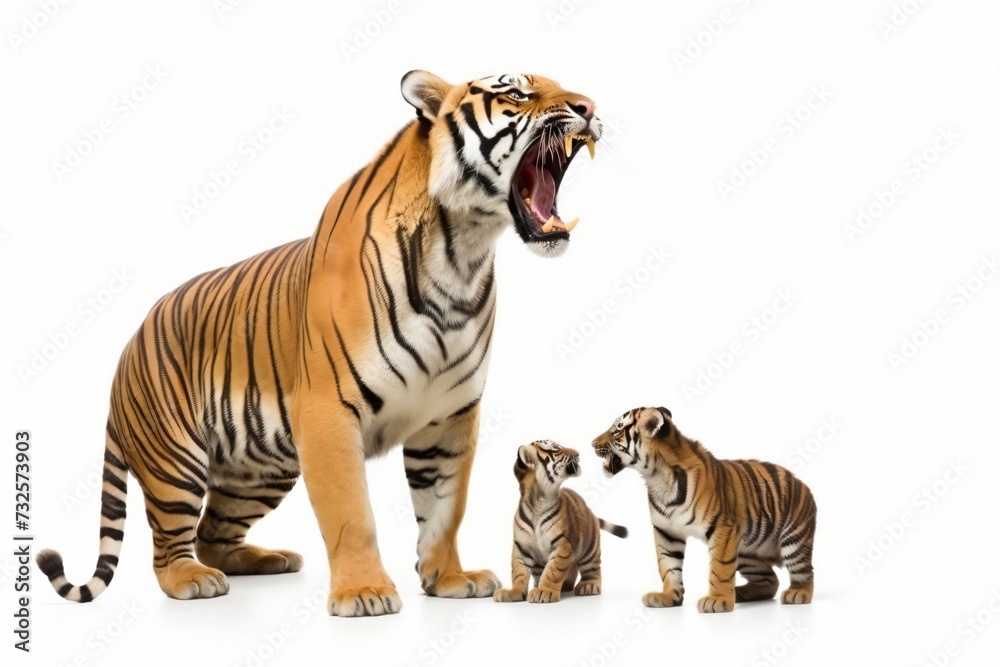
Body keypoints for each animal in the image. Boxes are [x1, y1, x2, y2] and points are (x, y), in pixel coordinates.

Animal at [36, 70, 602, 617]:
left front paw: (448, 579)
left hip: (256, 471)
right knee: (169, 543)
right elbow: (351, 511)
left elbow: (446, 507)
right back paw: (193, 581)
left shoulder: (451, 417)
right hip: (175, 459)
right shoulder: (329, 412)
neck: (460, 253)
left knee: (213, 533)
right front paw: (364, 593)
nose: (590, 107)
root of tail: (128, 343)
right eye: (517, 92)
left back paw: (269, 559)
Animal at [493, 440, 627, 604]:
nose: (577, 453)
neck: (539, 501)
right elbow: (518, 573)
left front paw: (544, 591)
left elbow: (553, 571)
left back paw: (588, 586)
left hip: (590, 550)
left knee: (592, 569)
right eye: (555, 449)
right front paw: (513, 592)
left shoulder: (562, 546)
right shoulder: (521, 548)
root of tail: (591, 512)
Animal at [591, 407, 816, 613]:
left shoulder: (723, 529)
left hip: (793, 542)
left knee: (806, 572)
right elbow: (668, 565)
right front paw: (668, 597)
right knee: (770, 581)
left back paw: (797, 593)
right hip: (747, 552)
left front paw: (717, 600)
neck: (656, 476)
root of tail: (803, 483)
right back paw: (740, 593)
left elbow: (720, 568)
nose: (592, 443)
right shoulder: (666, 531)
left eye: (617, 429)